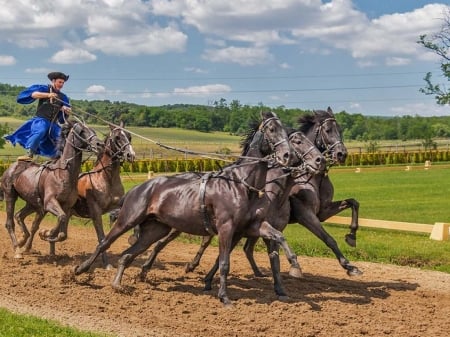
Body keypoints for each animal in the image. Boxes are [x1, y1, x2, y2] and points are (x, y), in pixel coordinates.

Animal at [0, 121, 103, 258]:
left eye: (93, 130)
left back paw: (23, 240)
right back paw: (17, 249)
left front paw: (47, 236)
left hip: (32, 203)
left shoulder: (66, 206)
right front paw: (46, 233)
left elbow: (63, 233)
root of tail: (11, 167)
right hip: (10, 196)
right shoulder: (49, 203)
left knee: (19, 216)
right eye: (82, 131)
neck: (62, 174)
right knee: (9, 222)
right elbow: (61, 218)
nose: (100, 144)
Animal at [70, 121, 135, 268]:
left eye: (129, 136)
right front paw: (106, 264)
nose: (131, 155)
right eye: (117, 137)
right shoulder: (96, 212)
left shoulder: (117, 206)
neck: (106, 179)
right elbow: (101, 237)